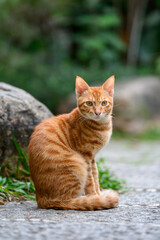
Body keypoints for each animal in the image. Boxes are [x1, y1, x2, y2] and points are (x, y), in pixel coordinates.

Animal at [28, 75, 119, 210]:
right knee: (66, 202)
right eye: (89, 103)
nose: (98, 113)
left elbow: (96, 177)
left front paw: (98, 195)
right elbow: (91, 182)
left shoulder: (92, 158)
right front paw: (95, 198)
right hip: (77, 164)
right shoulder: (86, 156)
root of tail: (40, 199)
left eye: (104, 103)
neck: (101, 126)